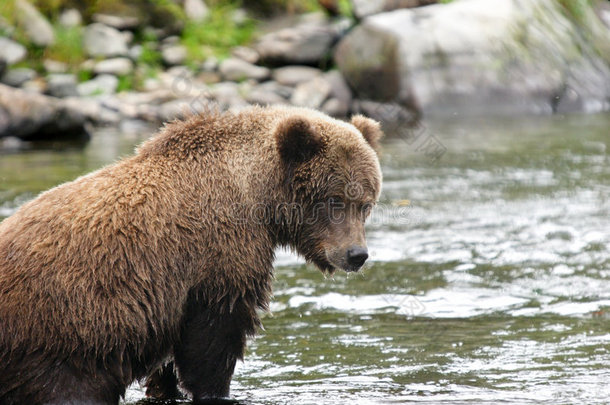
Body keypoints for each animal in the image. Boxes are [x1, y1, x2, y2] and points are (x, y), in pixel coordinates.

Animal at [0, 105, 380, 402]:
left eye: (366, 203)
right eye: (334, 200)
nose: (356, 254)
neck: (258, 196)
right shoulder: (218, 255)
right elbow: (214, 337)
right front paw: (214, 389)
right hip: (62, 329)